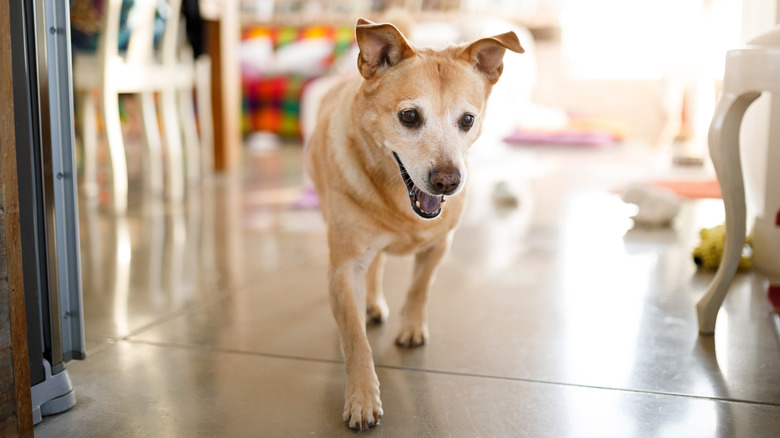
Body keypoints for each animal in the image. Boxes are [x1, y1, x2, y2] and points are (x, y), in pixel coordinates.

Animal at [304, 18, 524, 432]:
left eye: (467, 120)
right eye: (409, 117)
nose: (448, 181)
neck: (399, 202)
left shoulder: (440, 244)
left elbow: (420, 287)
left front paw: (411, 328)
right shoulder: (344, 268)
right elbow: (355, 339)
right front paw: (362, 398)